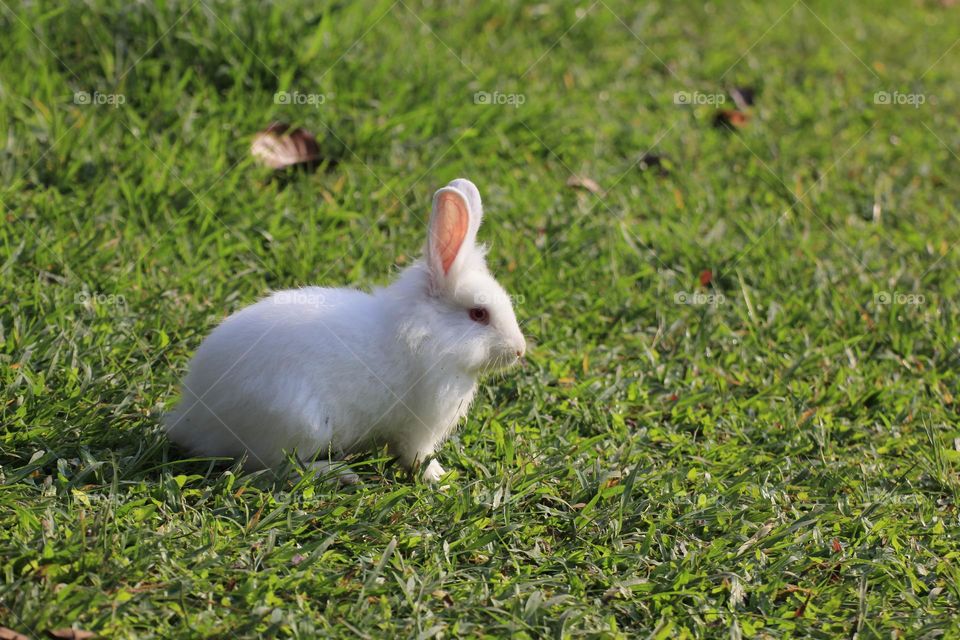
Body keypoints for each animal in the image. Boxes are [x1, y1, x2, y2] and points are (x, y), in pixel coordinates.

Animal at [165, 178, 526, 483]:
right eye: (479, 314)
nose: (519, 350)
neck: (427, 332)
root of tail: (192, 418)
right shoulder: (419, 426)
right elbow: (416, 456)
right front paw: (440, 478)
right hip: (301, 424)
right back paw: (339, 473)